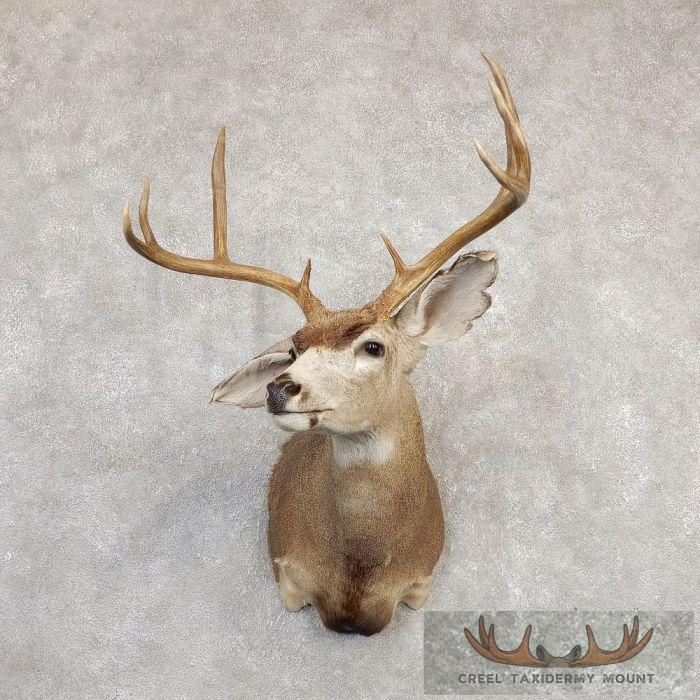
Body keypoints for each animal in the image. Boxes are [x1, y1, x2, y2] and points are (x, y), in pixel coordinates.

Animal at [123, 55, 530, 636]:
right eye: (295, 348)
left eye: (374, 347)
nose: (279, 387)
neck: (359, 575)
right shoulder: (287, 570)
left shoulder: (423, 578)